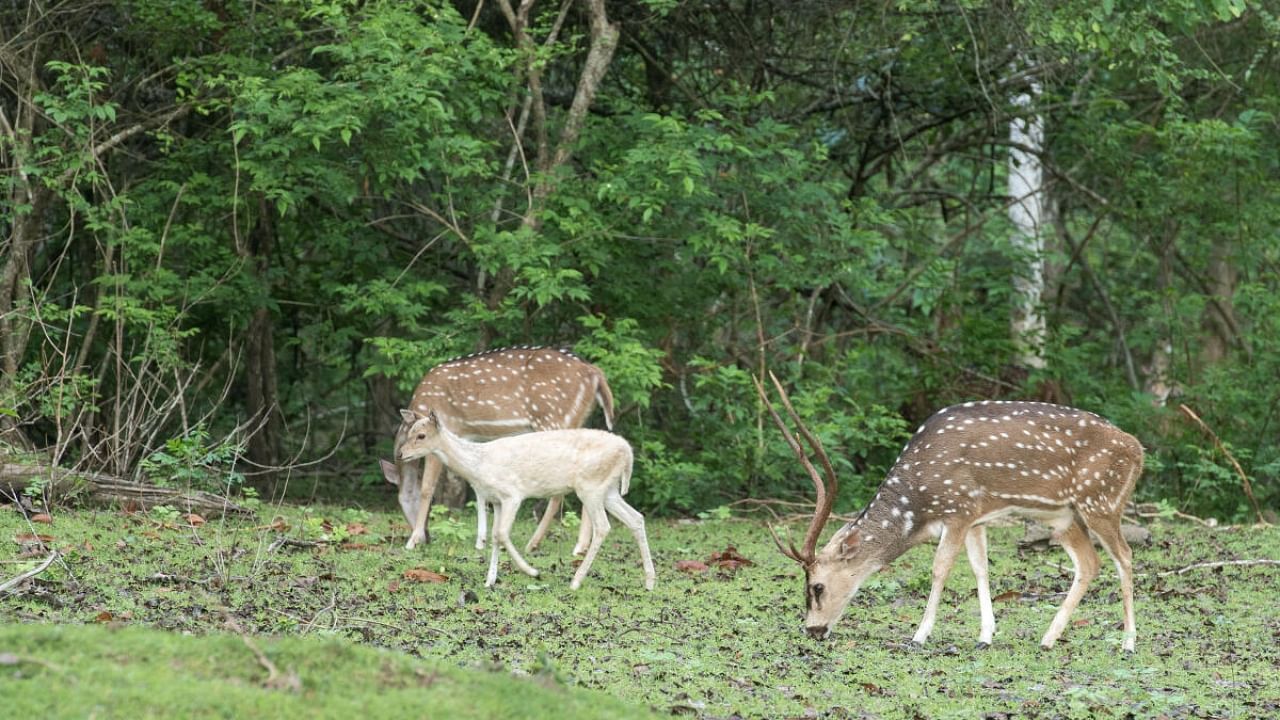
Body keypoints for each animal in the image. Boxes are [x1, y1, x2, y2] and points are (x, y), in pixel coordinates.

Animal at [373, 343, 614, 548]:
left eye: (409, 498)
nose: (427, 537)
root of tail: (595, 374)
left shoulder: (439, 437)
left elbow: (427, 488)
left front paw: (412, 541)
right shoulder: (467, 438)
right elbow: (476, 487)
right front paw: (482, 540)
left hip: (553, 419)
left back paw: (534, 543)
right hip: (574, 422)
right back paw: (580, 547)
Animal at [399, 409, 660, 589]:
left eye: (421, 435)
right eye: (408, 432)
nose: (401, 454)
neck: (479, 465)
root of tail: (628, 453)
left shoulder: (513, 494)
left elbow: (502, 533)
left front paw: (532, 572)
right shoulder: (496, 500)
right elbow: (495, 537)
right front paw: (489, 581)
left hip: (591, 487)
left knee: (603, 526)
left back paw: (575, 581)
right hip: (609, 490)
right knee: (636, 518)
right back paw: (649, 581)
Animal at [752, 371, 1146, 653]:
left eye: (817, 587)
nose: (812, 629)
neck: (918, 506)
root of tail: (1138, 450)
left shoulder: (958, 509)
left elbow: (940, 568)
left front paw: (918, 635)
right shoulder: (976, 515)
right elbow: (980, 568)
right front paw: (985, 636)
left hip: (1101, 501)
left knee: (1125, 556)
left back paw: (1128, 643)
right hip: (1063, 516)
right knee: (1089, 563)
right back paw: (1048, 639)